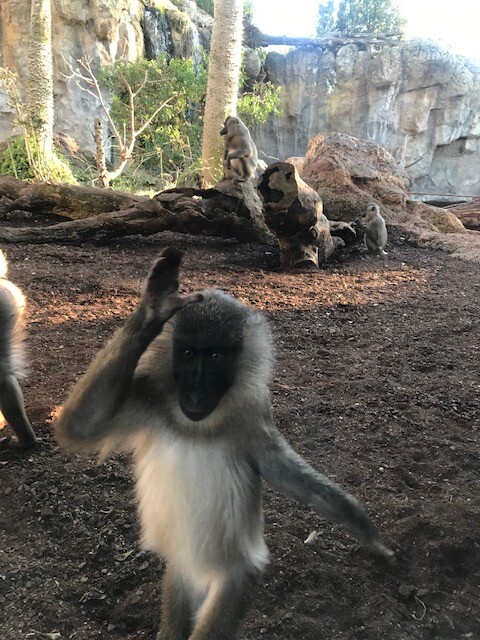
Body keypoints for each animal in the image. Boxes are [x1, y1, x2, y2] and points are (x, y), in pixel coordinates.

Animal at [54, 247, 393, 640]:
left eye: (215, 356)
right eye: (188, 354)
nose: (196, 391)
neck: (198, 425)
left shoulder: (252, 416)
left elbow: (285, 474)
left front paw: (362, 527)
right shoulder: (148, 397)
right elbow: (78, 426)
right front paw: (152, 309)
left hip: (231, 579)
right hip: (180, 571)